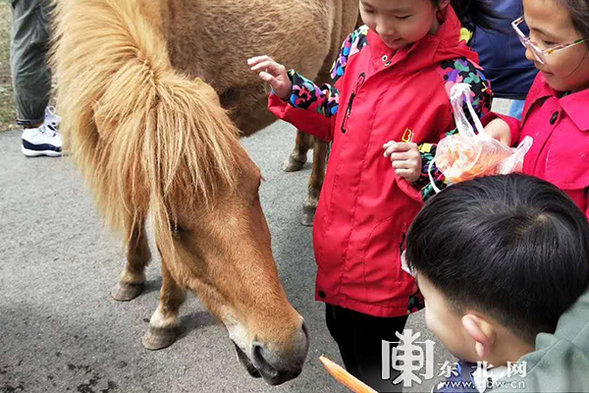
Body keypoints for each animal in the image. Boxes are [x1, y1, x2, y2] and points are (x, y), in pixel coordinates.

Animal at [54, 0, 358, 384]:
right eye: (174, 225)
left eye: (256, 185)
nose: (285, 350)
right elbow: (132, 210)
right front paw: (132, 275)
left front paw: (164, 316)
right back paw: (296, 156)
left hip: (329, 66)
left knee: (323, 134)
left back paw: (312, 197)